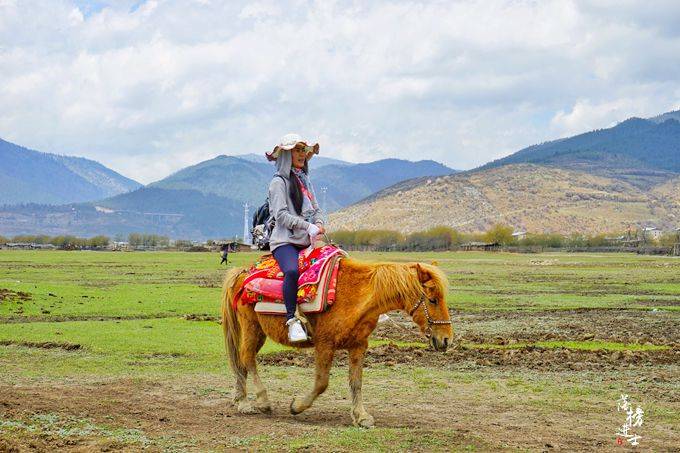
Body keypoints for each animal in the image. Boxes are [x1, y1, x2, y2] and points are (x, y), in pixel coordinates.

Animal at [220, 256, 452, 426]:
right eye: (433, 299)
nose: (446, 339)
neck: (356, 296)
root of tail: (242, 273)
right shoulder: (325, 344)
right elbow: (322, 382)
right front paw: (297, 406)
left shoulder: (358, 345)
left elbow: (356, 382)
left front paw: (361, 416)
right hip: (251, 327)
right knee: (247, 358)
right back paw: (258, 402)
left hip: (258, 332)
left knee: (242, 362)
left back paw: (241, 400)